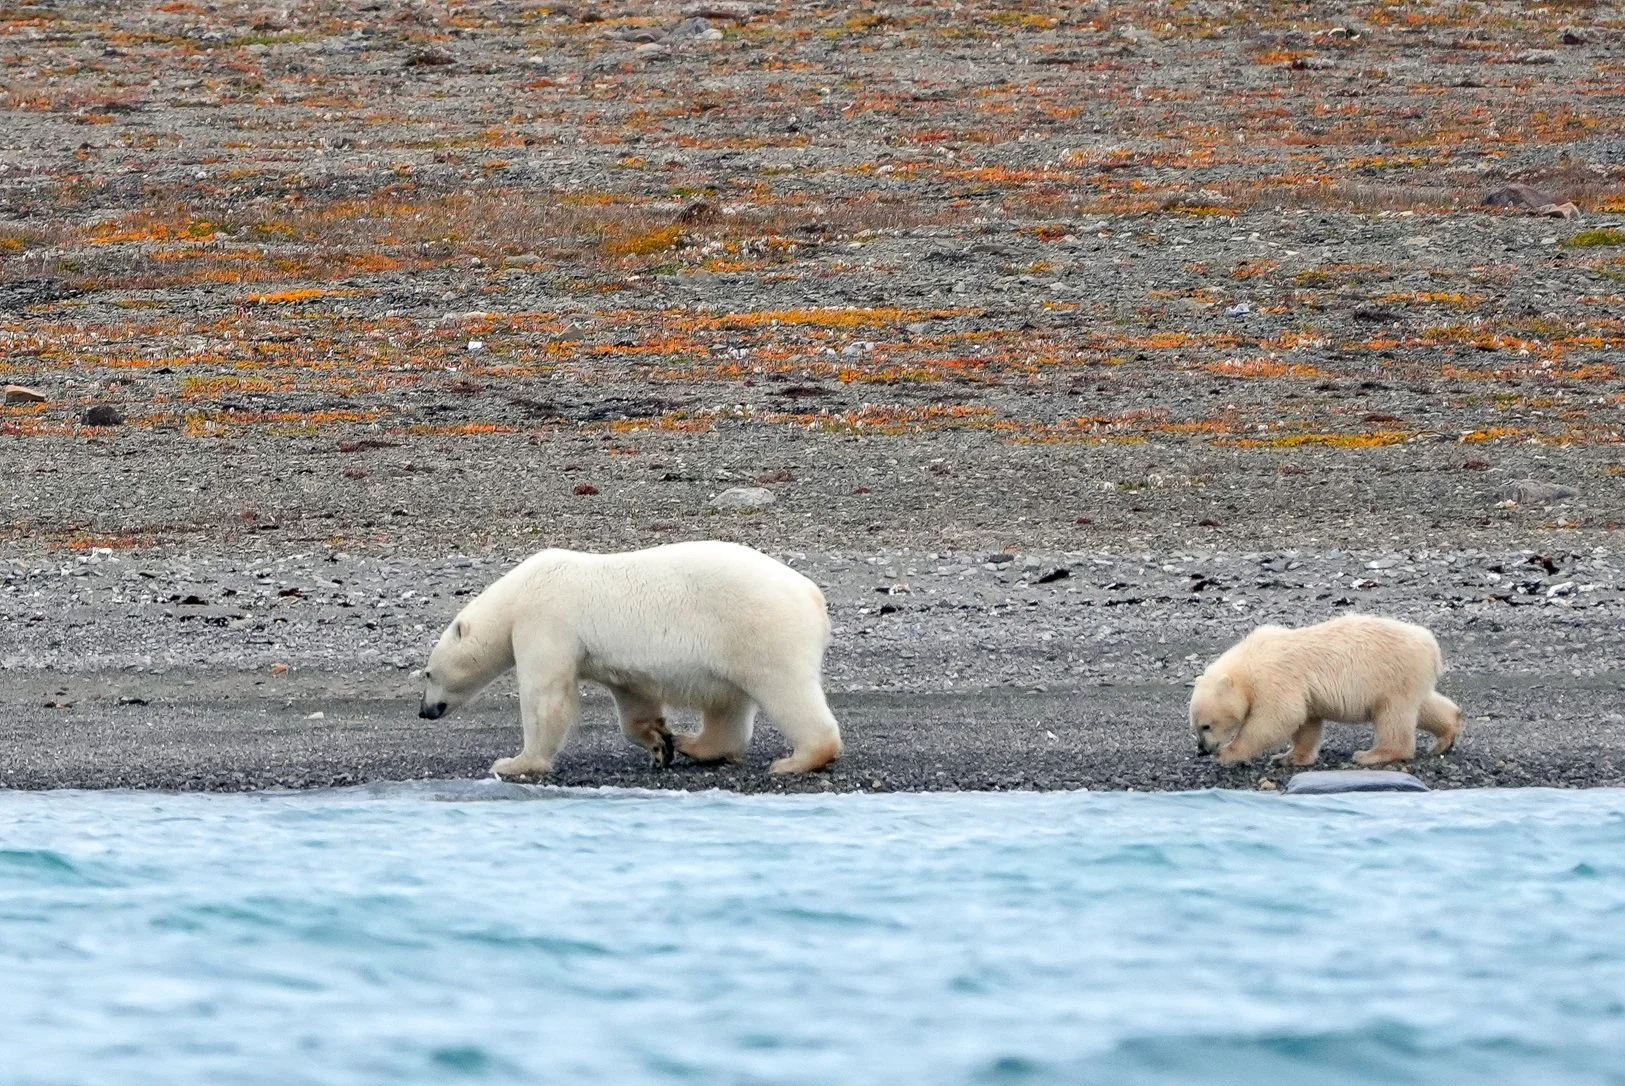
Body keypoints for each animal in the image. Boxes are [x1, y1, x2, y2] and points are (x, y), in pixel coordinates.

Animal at [417, 540, 843, 778]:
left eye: (427, 673)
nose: (425, 711)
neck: (517, 594)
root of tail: (812, 595)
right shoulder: (617, 665)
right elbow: (634, 699)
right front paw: (660, 743)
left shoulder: (545, 620)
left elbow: (545, 697)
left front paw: (515, 762)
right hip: (733, 647)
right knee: (727, 704)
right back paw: (694, 744)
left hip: (761, 629)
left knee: (785, 691)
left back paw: (796, 760)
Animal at [1189, 614, 1461, 767]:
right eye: (1196, 726)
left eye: (1206, 726)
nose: (1203, 749)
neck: (1250, 659)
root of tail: (1431, 646)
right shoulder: (1303, 691)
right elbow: (1306, 721)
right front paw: (1289, 757)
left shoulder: (1275, 678)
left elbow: (1276, 717)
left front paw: (1228, 753)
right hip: (1407, 678)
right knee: (1422, 706)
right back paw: (1445, 737)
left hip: (1391, 674)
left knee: (1392, 716)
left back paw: (1371, 754)